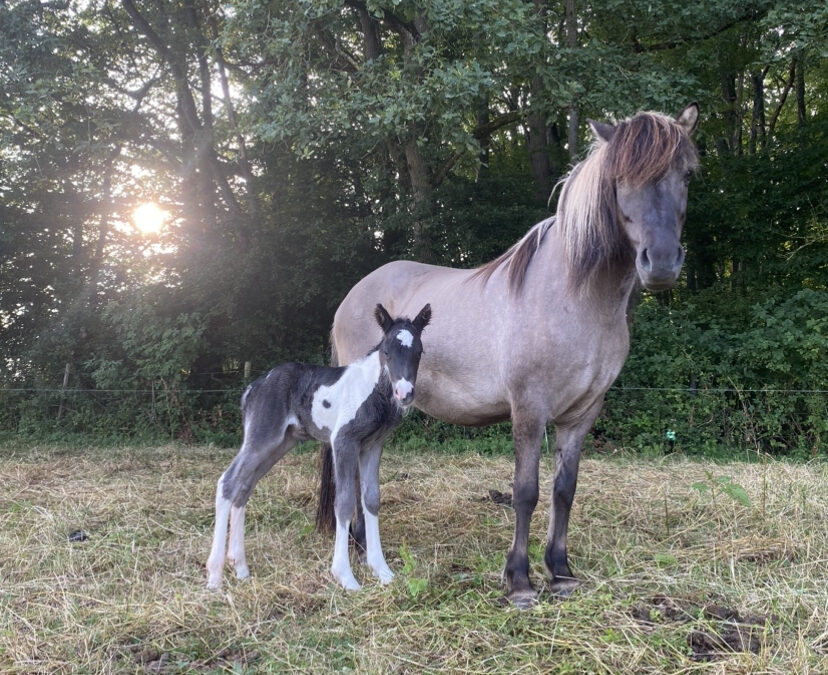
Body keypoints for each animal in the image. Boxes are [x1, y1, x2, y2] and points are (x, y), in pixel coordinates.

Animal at [205, 304, 434, 588]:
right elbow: (345, 502)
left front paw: (382, 570)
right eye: (387, 351)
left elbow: (371, 499)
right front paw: (345, 576)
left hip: (279, 443)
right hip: (260, 438)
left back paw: (240, 567)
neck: (371, 390)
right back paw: (214, 575)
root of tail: (253, 387)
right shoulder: (343, 442)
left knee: (244, 487)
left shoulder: (372, 446)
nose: (405, 394)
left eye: (419, 351)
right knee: (228, 482)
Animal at [316, 104, 700, 608]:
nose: (662, 263)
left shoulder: (583, 412)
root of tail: (350, 297)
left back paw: (363, 547)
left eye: (687, 174)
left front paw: (560, 572)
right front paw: (519, 580)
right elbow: (526, 491)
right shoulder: (529, 408)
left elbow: (564, 490)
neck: (574, 296)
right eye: (621, 179)